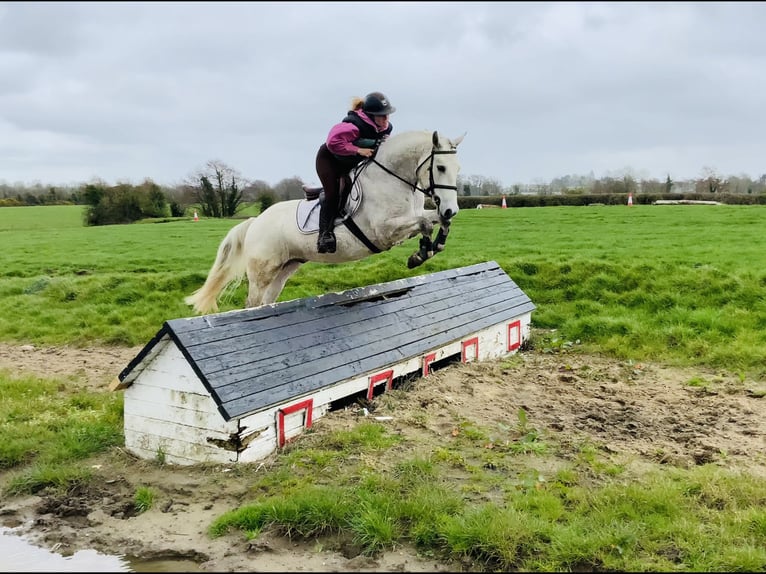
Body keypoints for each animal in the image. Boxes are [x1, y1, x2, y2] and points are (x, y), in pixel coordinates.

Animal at [185, 129, 465, 314]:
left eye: (458, 169)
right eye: (440, 167)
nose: (452, 208)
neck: (394, 178)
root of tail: (255, 222)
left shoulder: (414, 217)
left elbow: (436, 221)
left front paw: (434, 245)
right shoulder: (383, 231)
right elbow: (425, 224)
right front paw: (420, 255)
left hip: (284, 269)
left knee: (266, 301)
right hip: (262, 271)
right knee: (252, 304)